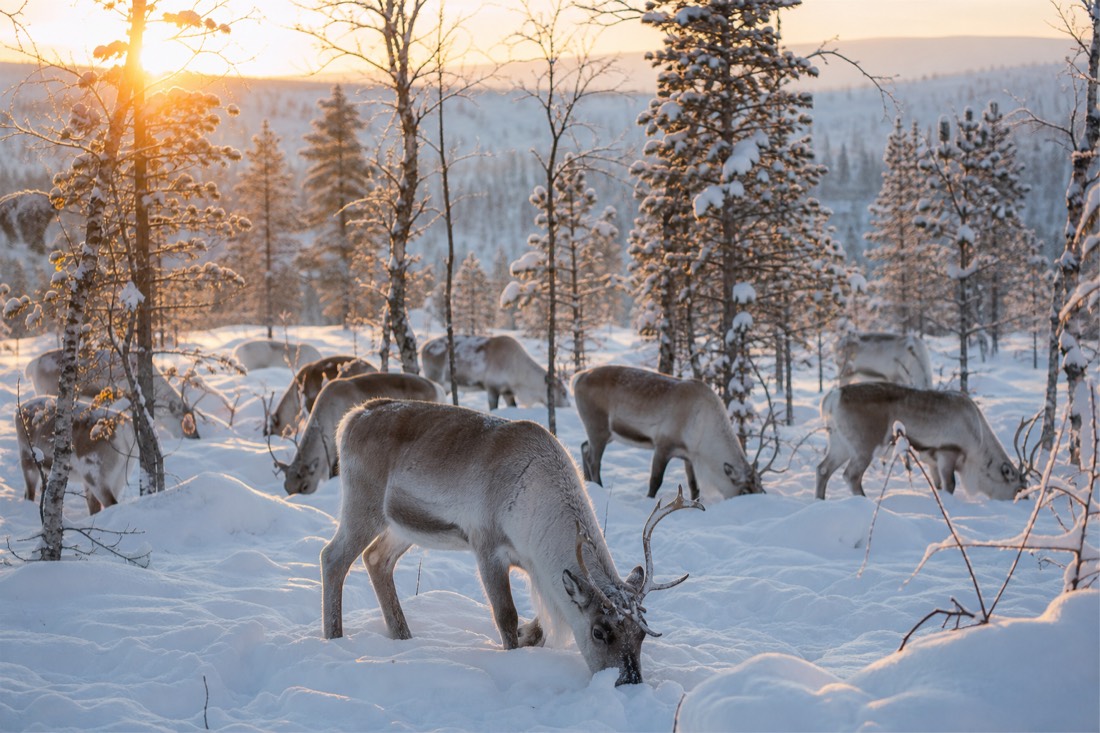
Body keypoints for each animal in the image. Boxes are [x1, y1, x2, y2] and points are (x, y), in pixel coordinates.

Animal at [321, 398, 704, 686]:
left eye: (641, 634)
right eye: (599, 632)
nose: (629, 682)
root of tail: (350, 418)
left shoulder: (538, 569)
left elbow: (538, 626)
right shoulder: (487, 545)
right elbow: (506, 616)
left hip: (402, 526)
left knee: (376, 559)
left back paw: (403, 637)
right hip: (364, 504)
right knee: (332, 557)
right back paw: (334, 637)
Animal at [419, 334, 569, 410]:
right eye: (563, 392)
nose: (568, 406)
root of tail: (423, 347)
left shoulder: (507, 392)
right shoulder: (491, 387)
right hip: (435, 377)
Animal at [572, 365, 762, 501]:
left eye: (759, 485)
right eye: (745, 490)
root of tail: (578, 377)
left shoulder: (688, 456)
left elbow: (694, 485)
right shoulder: (663, 445)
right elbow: (655, 481)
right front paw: (649, 500)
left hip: (607, 434)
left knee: (584, 447)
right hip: (598, 427)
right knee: (594, 460)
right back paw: (599, 485)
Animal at [816, 382, 1028, 501]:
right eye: (1019, 489)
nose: (1024, 503)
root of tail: (833, 397)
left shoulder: (932, 461)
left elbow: (938, 485)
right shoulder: (948, 453)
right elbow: (950, 485)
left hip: (840, 444)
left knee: (823, 469)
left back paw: (820, 500)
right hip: (864, 448)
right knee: (851, 476)